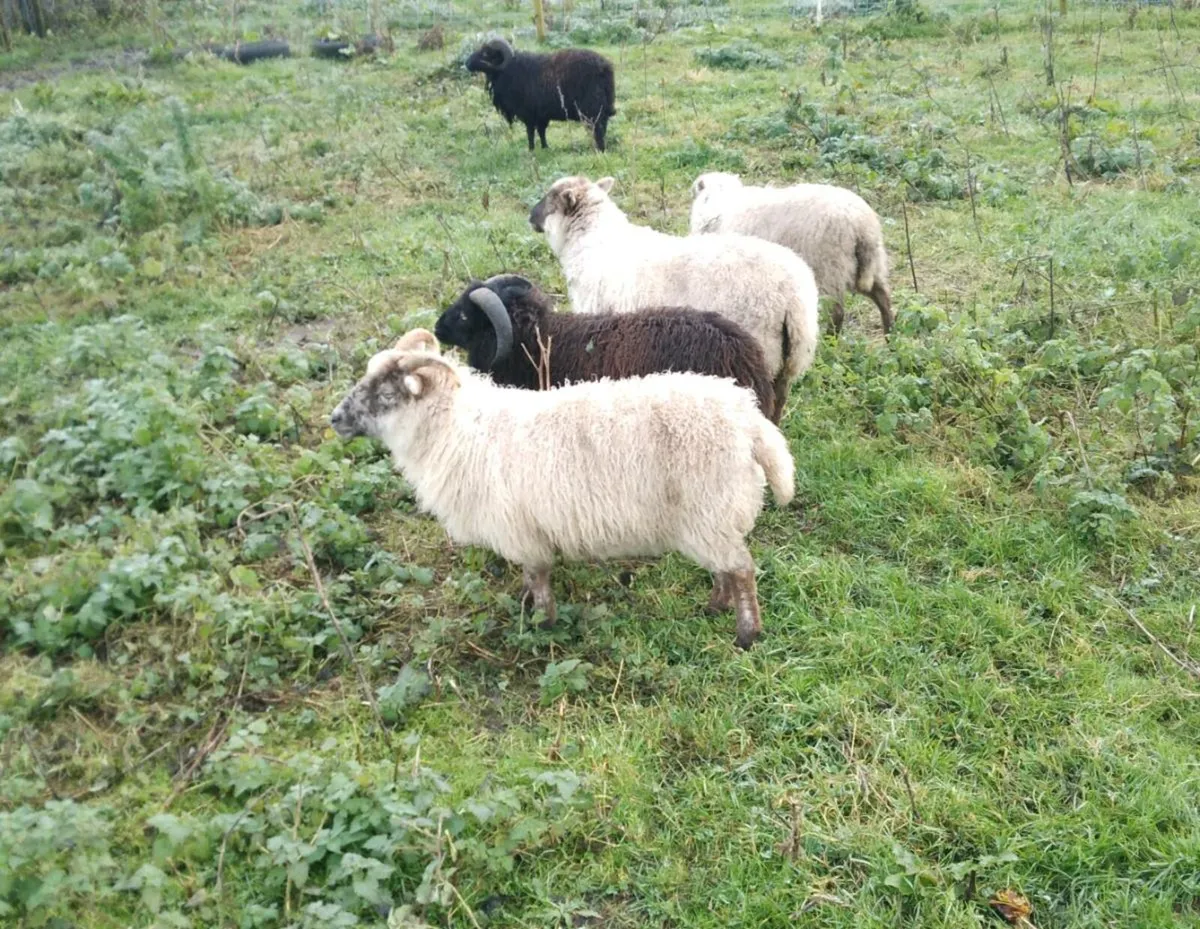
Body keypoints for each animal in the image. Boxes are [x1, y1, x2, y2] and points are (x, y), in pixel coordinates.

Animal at [329, 329, 795, 649]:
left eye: (386, 393)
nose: (334, 418)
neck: (455, 430)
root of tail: (750, 421)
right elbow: (528, 578)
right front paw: (527, 606)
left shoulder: (521, 531)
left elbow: (538, 579)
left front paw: (543, 626)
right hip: (710, 517)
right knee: (725, 568)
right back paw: (715, 606)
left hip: (712, 508)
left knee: (741, 570)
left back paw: (747, 634)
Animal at [465, 39, 616, 152]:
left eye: (486, 53)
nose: (466, 63)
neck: (509, 70)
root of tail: (604, 67)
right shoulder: (541, 116)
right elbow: (541, 132)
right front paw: (545, 148)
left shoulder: (528, 114)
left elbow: (530, 133)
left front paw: (531, 150)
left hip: (592, 108)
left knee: (598, 129)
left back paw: (600, 149)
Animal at [529, 175, 820, 421]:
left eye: (550, 198)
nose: (530, 217)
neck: (590, 242)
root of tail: (794, 297)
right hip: (787, 361)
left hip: (761, 350)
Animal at [690, 172, 893, 335]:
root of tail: (861, 224)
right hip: (866, 264)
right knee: (883, 297)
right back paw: (890, 336)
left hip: (829, 266)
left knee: (836, 311)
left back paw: (831, 341)